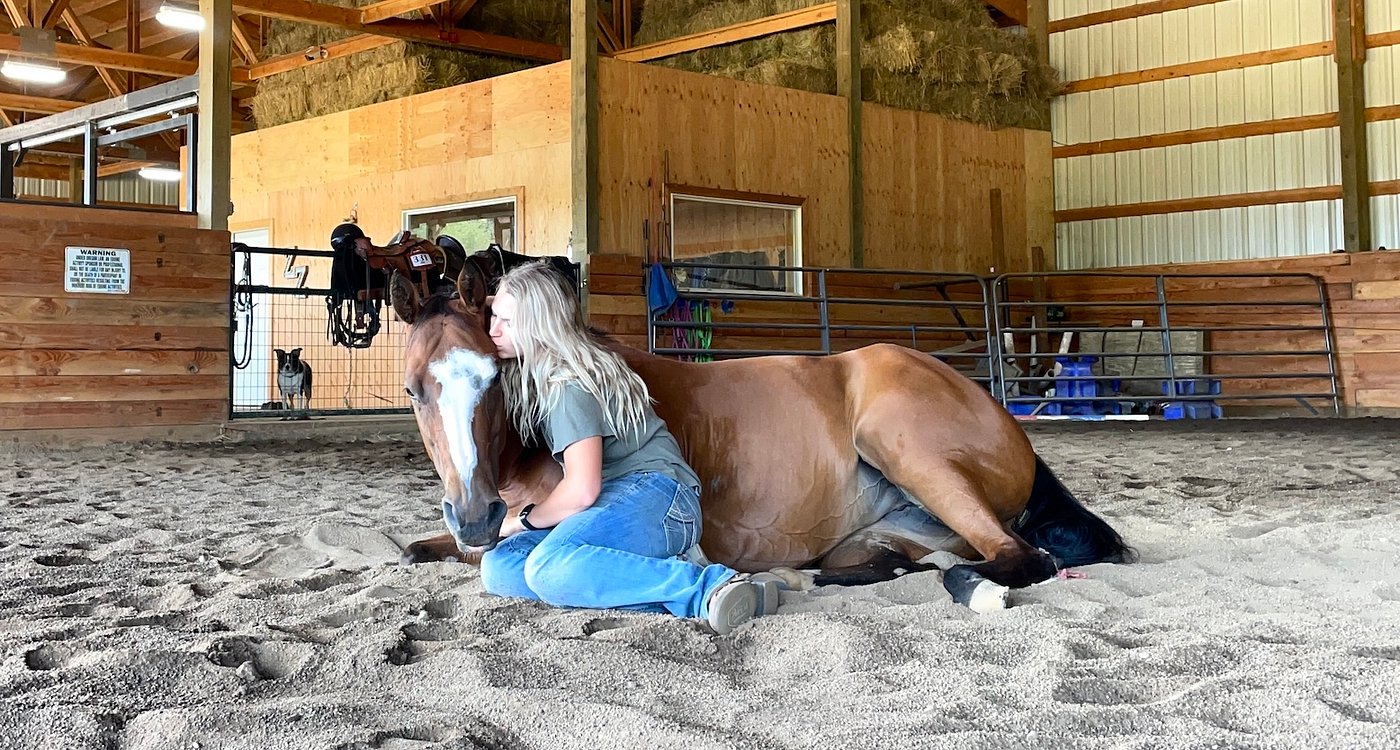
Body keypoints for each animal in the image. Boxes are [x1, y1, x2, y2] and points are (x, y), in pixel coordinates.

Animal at [397, 260, 1133, 611]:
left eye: (494, 378)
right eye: (413, 389)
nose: (474, 514)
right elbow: (415, 549)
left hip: (909, 450)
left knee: (1016, 558)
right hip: (887, 529)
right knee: (899, 563)